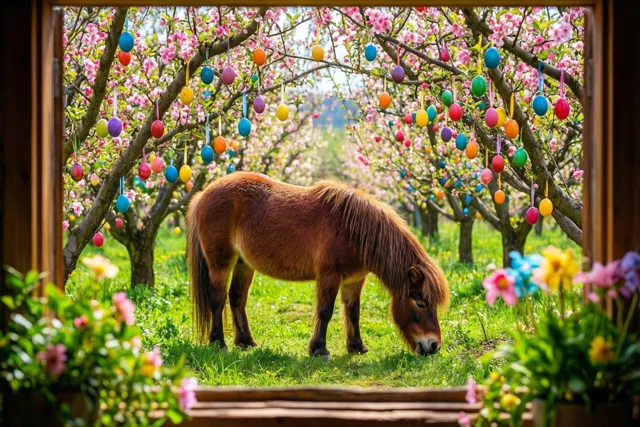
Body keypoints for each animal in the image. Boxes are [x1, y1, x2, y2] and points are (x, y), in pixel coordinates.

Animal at [187, 172, 449, 358]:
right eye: (420, 303)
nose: (433, 346)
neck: (353, 230)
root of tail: (203, 194)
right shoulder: (329, 276)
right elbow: (325, 311)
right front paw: (319, 349)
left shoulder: (354, 280)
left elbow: (353, 312)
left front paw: (357, 347)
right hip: (220, 263)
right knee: (218, 299)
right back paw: (219, 343)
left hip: (243, 264)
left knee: (237, 299)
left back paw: (246, 342)